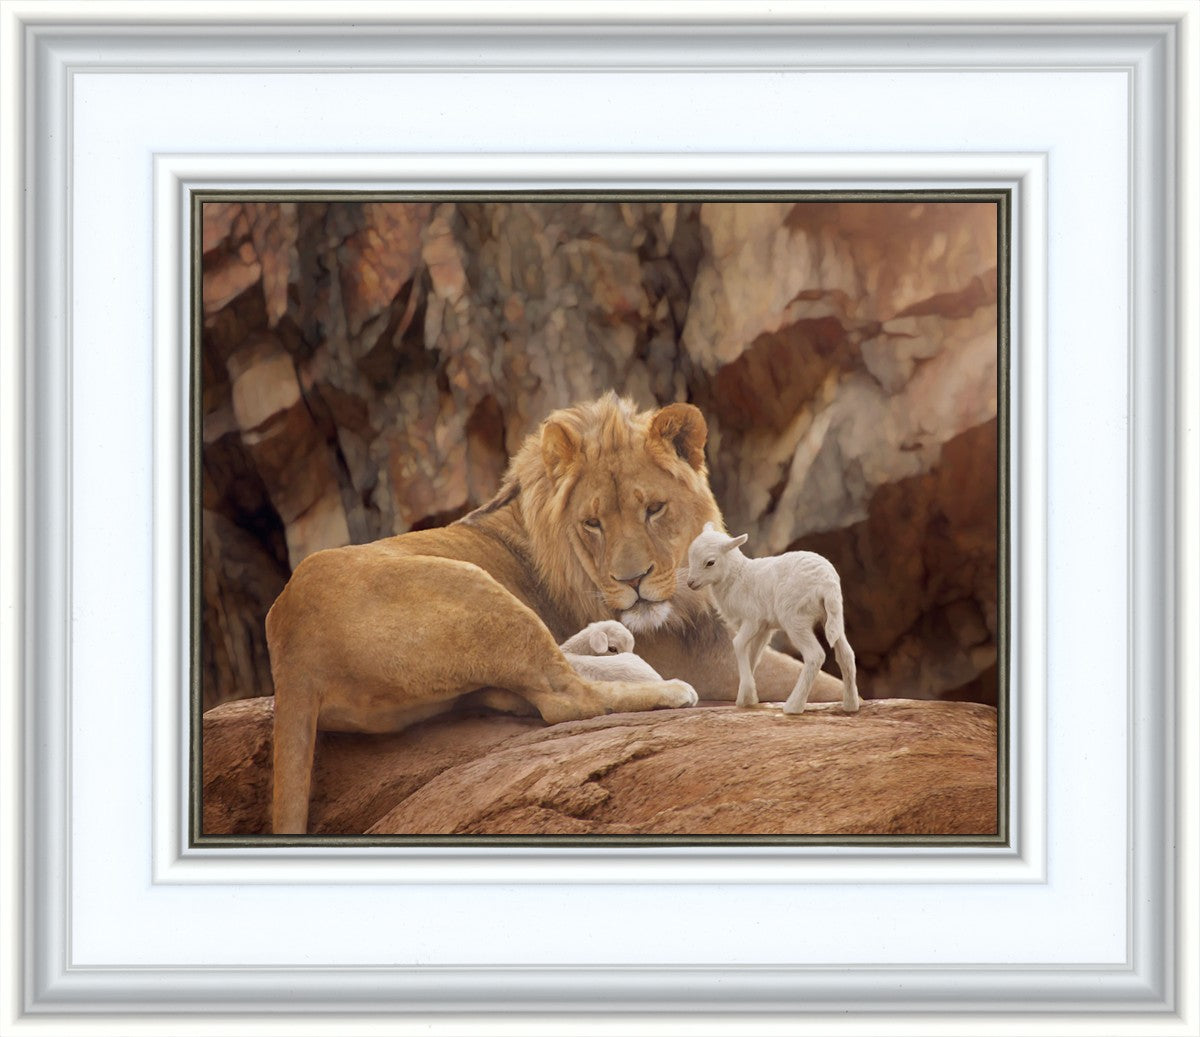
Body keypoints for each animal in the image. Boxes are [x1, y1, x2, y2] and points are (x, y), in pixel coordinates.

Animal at [685, 523, 860, 715]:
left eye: (710, 562)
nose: (690, 583)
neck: (737, 577)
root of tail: (827, 583)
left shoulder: (752, 619)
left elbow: (738, 644)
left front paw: (746, 695)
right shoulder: (764, 628)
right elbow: (753, 655)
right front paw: (747, 697)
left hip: (795, 618)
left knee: (815, 656)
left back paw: (793, 706)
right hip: (833, 616)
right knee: (846, 654)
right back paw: (850, 705)